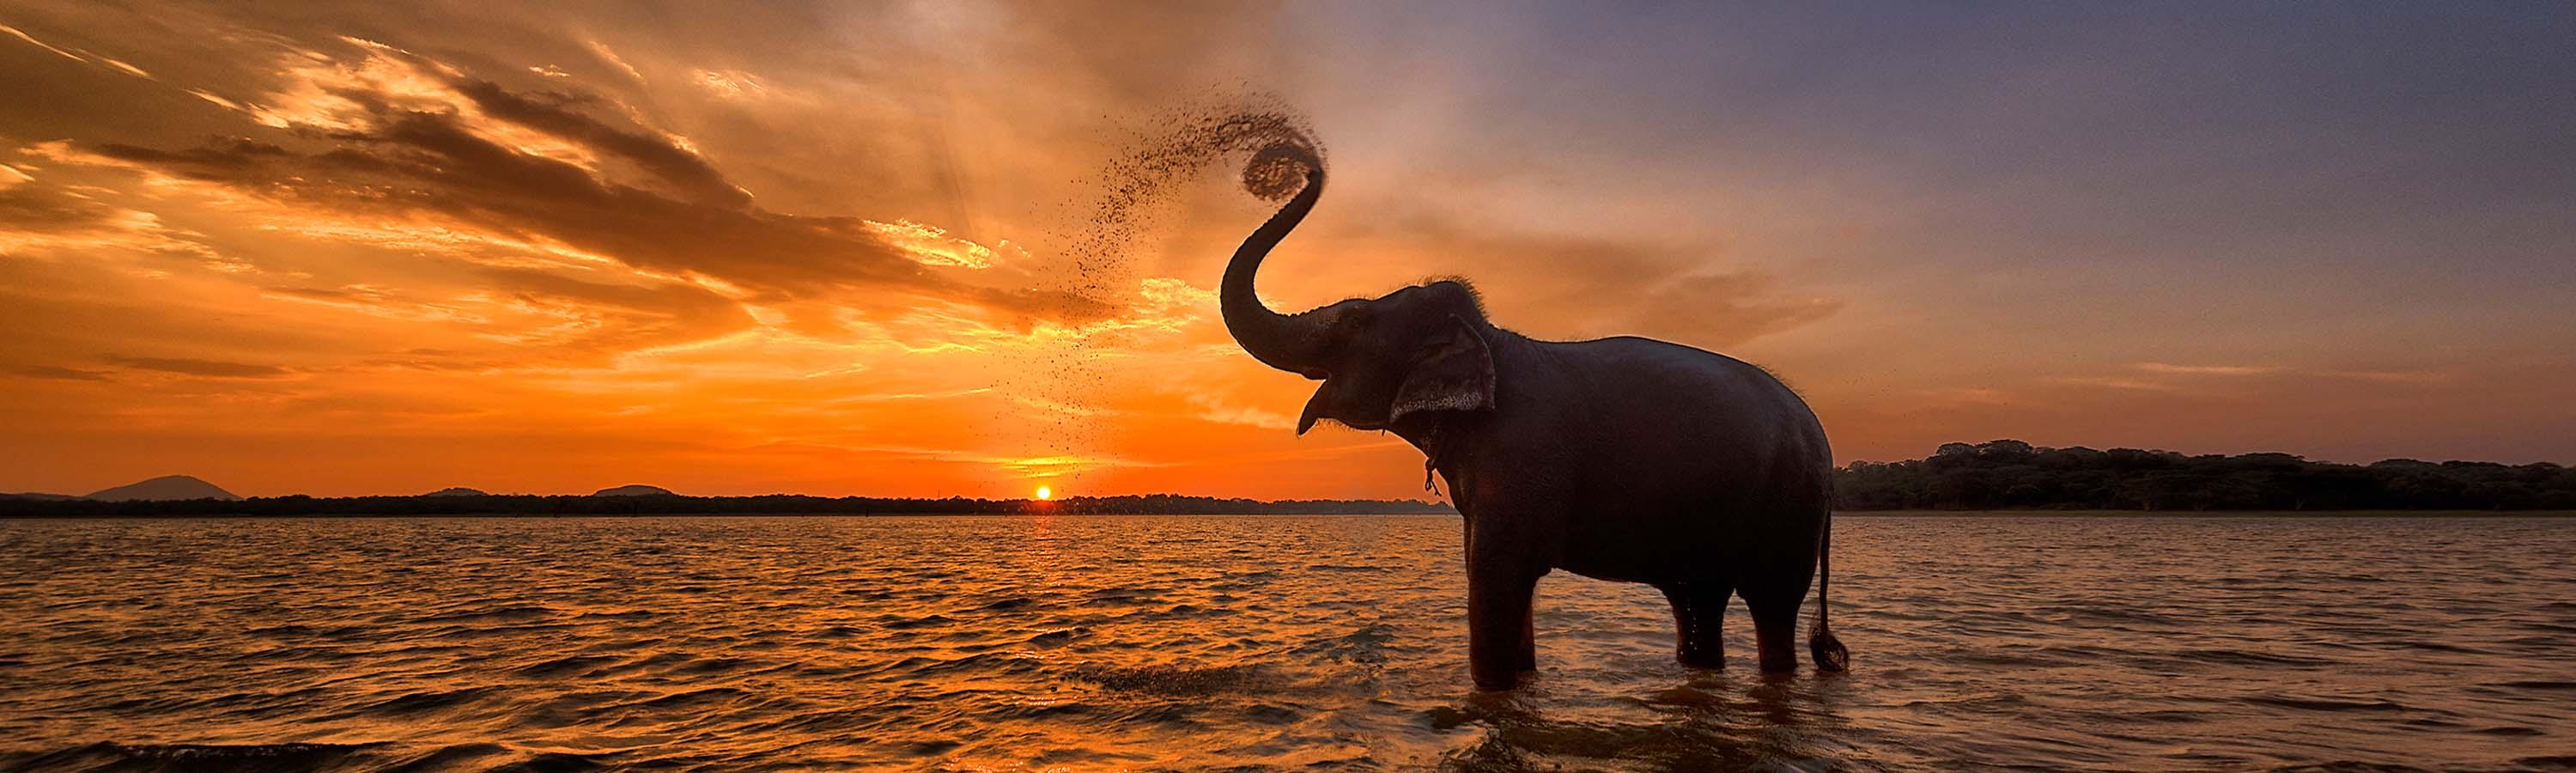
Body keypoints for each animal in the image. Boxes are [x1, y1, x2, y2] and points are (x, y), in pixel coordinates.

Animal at [1216, 142, 1844, 691]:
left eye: (1351, 321)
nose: (1292, 163)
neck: (1492, 342)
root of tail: (1820, 432)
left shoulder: (1522, 457)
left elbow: (1497, 580)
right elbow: (1491, 579)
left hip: (1788, 509)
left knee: (1772, 609)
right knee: (1698, 604)